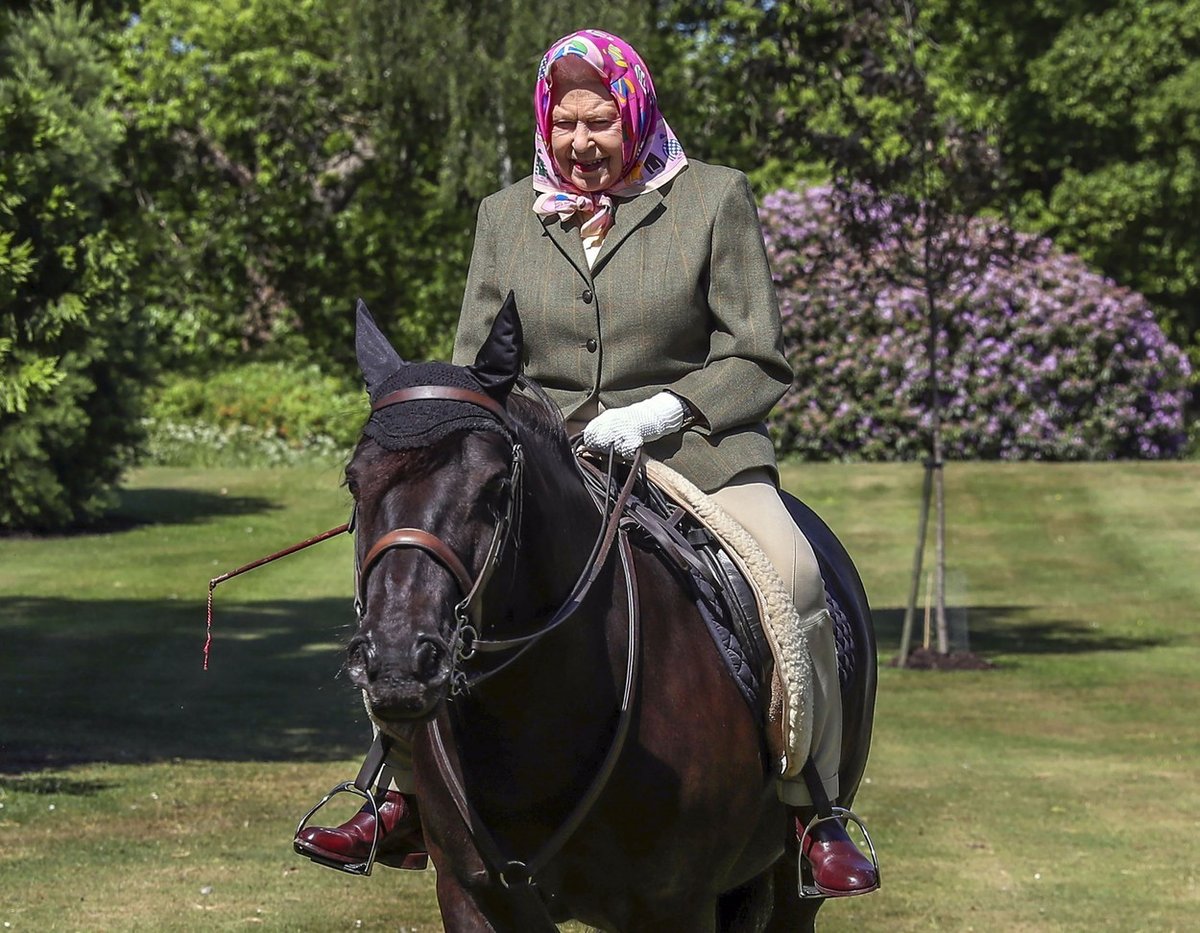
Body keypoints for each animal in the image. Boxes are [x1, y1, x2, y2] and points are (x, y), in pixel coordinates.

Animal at [343, 299, 878, 930]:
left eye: (495, 485)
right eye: (354, 481)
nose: (400, 660)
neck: (534, 718)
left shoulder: (674, 908)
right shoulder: (472, 895)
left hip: (795, 881)